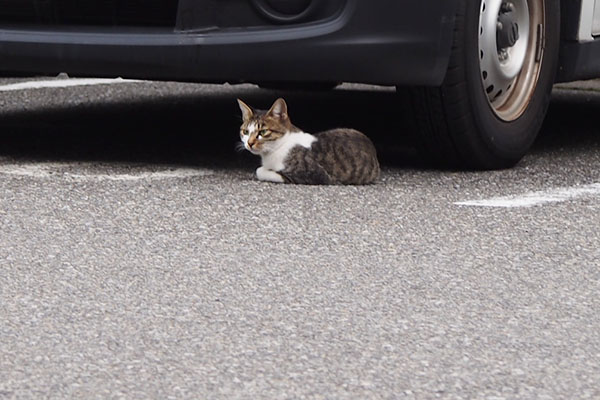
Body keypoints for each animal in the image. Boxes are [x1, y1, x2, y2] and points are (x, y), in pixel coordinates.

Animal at [237, 97, 378, 185]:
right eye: (246, 132)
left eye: (263, 132)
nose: (249, 143)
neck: (278, 147)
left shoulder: (314, 174)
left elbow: (260, 171)